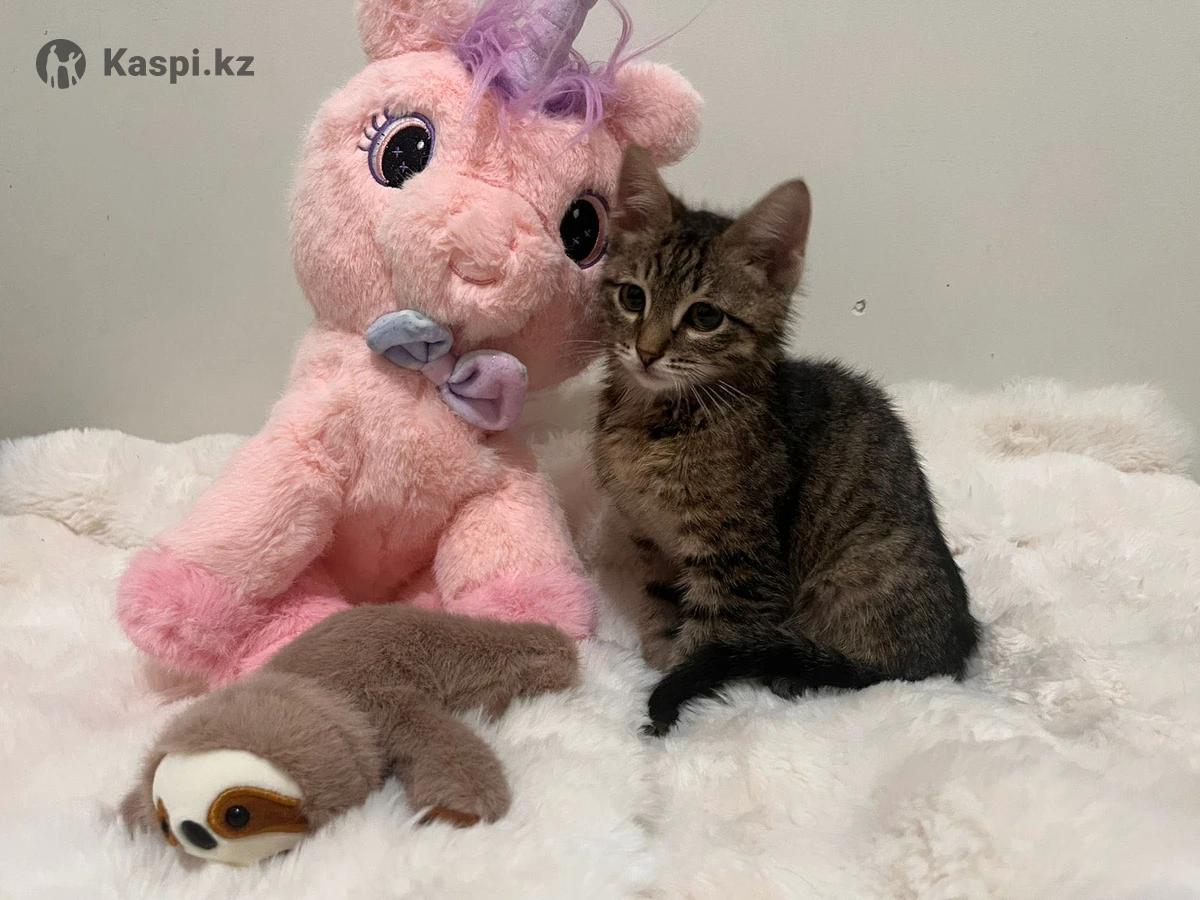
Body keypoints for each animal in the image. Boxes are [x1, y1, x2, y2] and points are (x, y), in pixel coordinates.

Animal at [591, 147, 979, 735]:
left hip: (853, 577)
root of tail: (954, 650)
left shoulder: (741, 566)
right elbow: (660, 610)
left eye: (705, 316)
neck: (653, 425)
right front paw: (656, 656)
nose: (647, 351)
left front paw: (669, 707)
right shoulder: (653, 545)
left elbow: (706, 644)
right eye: (633, 297)